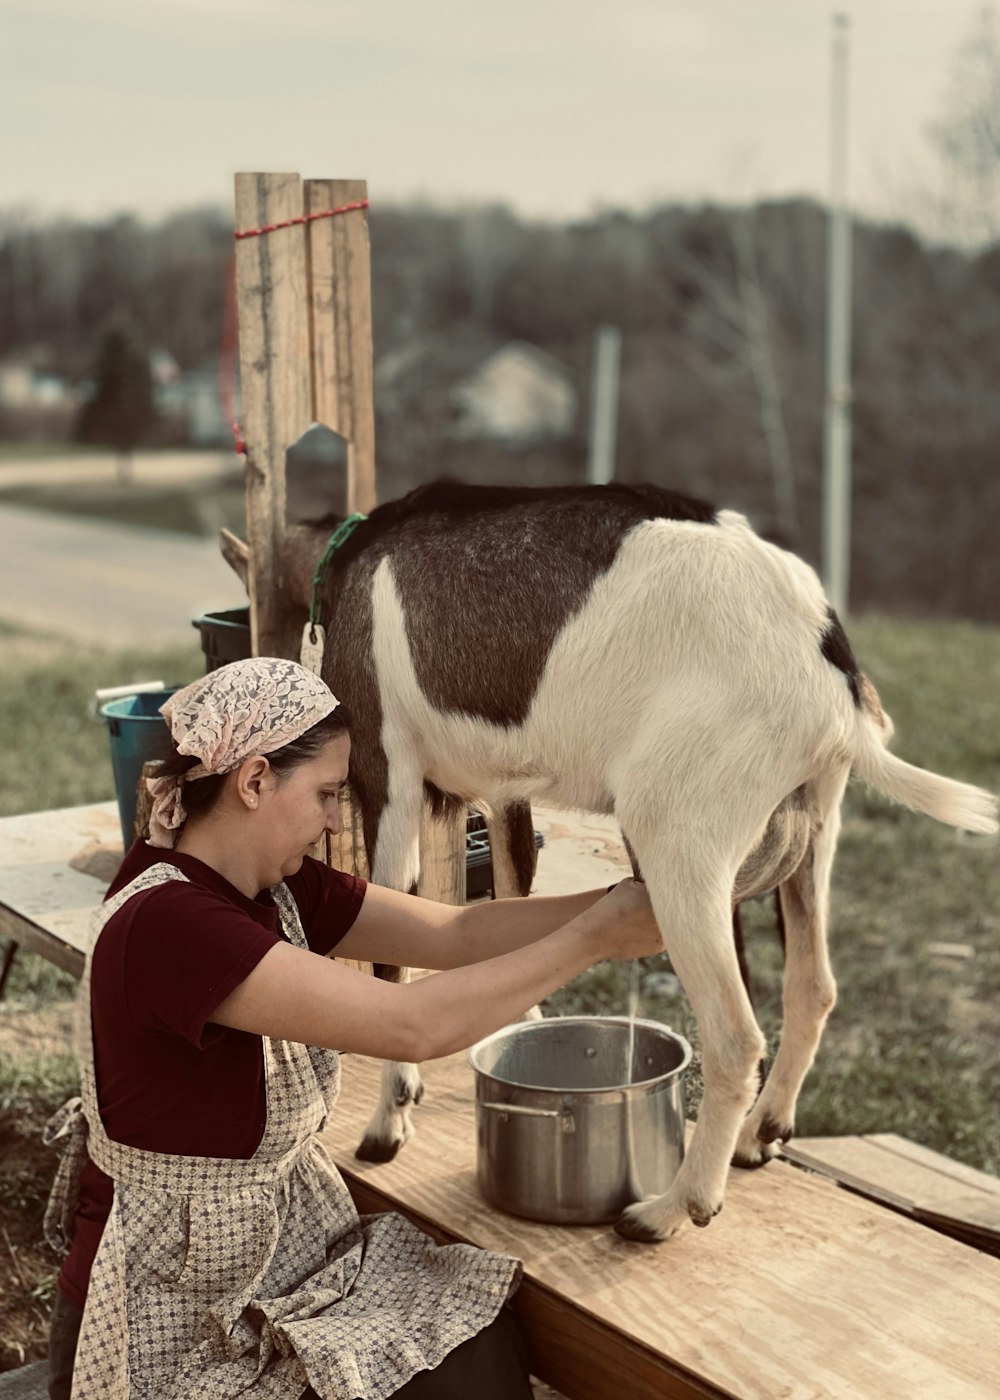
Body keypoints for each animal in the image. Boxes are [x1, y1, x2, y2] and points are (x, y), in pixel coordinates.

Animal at [268, 478, 991, 1237]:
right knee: (813, 986)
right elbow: (499, 901)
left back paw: (675, 1206)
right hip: (814, 831)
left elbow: (389, 958)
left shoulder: (392, 779)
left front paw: (389, 1120)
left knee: (735, 1037)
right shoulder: (501, 792)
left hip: (677, 845)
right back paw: (761, 1133)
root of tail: (831, 668)